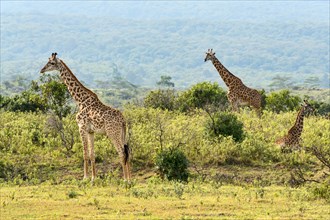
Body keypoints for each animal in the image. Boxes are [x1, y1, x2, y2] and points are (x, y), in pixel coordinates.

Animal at [40, 52, 130, 180]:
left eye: (51, 63)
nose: (42, 70)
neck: (80, 100)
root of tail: (123, 120)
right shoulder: (90, 131)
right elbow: (92, 154)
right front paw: (93, 178)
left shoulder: (81, 127)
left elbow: (85, 153)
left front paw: (85, 178)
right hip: (122, 133)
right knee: (127, 152)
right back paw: (130, 179)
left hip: (112, 132)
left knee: (122, 152)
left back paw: (125, 180)